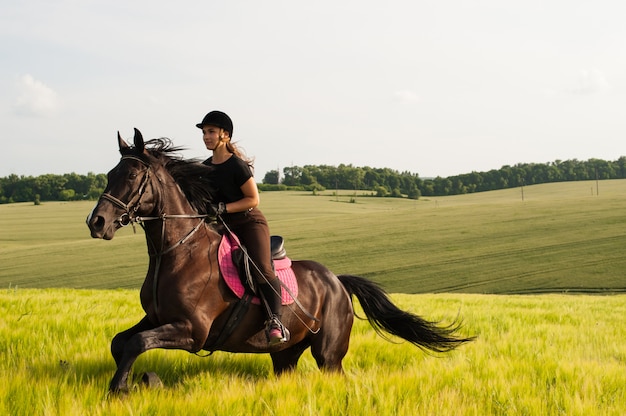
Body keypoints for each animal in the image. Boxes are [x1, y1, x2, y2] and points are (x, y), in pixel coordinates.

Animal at [85, 129, 470, 394]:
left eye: (131, 177)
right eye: (110, 174)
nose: (96, 222)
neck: (178, 251)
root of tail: (337, 280)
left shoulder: (192, 330)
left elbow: (137, 343)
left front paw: (121, 388)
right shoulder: (156, 318)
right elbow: (121, 342)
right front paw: (136, 382)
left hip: (329, 354)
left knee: (334, 374)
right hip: (286, 353)